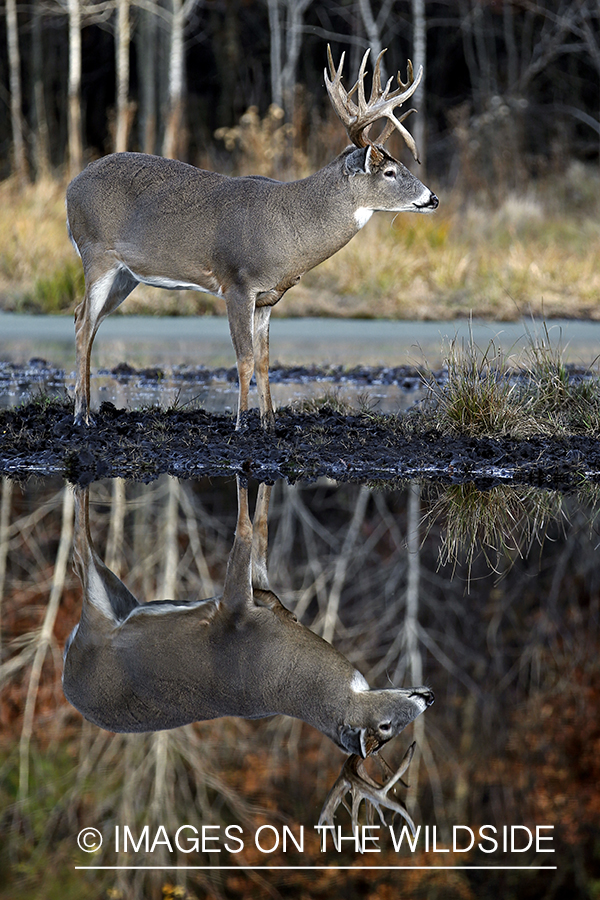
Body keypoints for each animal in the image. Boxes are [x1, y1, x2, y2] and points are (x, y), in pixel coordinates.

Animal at [63, 478, 434, 808]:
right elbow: (259, 527)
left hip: (105, 609)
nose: (429, 697)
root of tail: (67, 680)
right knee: (81, 552)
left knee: (81, 553)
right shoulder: (251, 601)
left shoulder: (239, 607)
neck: (286, 665)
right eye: (385, 727)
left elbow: (248, 527)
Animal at [68, 44, 438, 430]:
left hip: (127, 275)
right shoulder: (237, 282)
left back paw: (84, 407)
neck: (289, 231)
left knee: (88, 320)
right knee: (83, 321)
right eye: (390, 171)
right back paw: (82, 416)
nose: (432, 198)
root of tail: (72, 185)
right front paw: (241, 422)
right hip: (96, 254)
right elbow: (243, 357)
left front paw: (269, 422)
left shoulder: (267, 297)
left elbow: (263, 361)